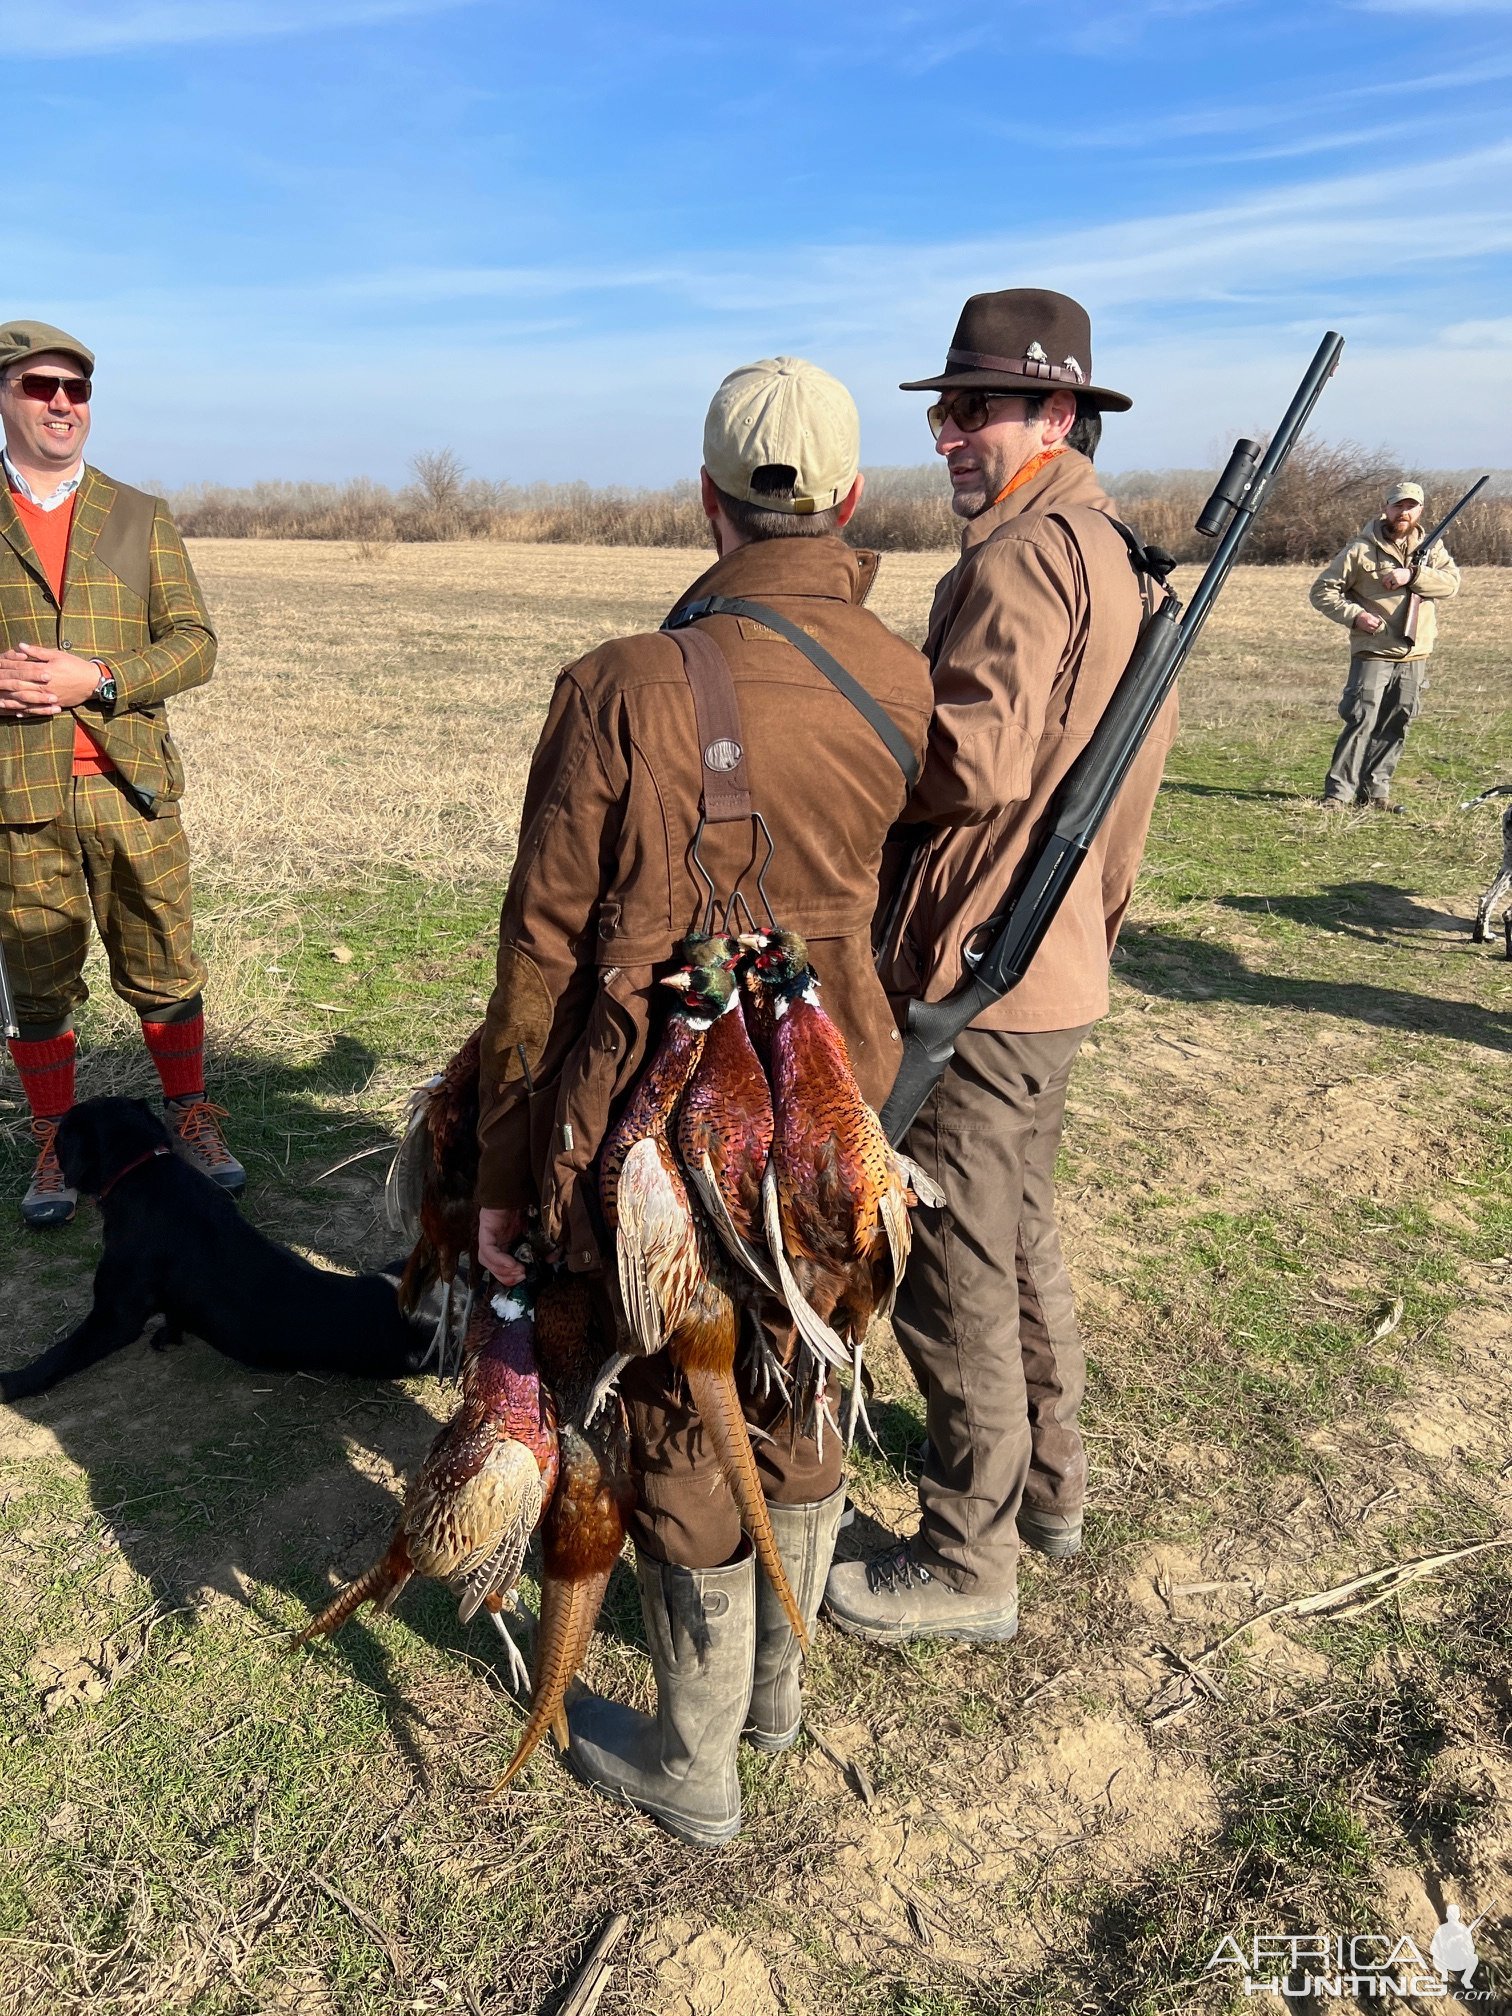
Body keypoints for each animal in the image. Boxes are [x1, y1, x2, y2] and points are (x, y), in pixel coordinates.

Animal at [2, 1104, 435, 1403]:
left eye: (59, 1137)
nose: (48, 1144)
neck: (142, 1170)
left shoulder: (115, 1314)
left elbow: (61, 1355)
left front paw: (13, 1383)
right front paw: (169, 1335)